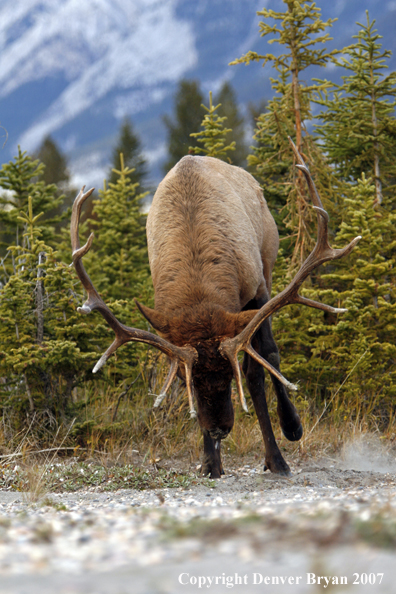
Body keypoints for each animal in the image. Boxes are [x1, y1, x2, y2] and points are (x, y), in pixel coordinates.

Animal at [69, 139, 360, 476]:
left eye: (229, 376)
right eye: (186, 381)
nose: (219, 429)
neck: (198, 291)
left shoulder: (257, 288)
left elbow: (263, 362)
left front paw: (283, 447)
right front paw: (210, 463)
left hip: (267, 260)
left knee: (264, 358)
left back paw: (284, 438)